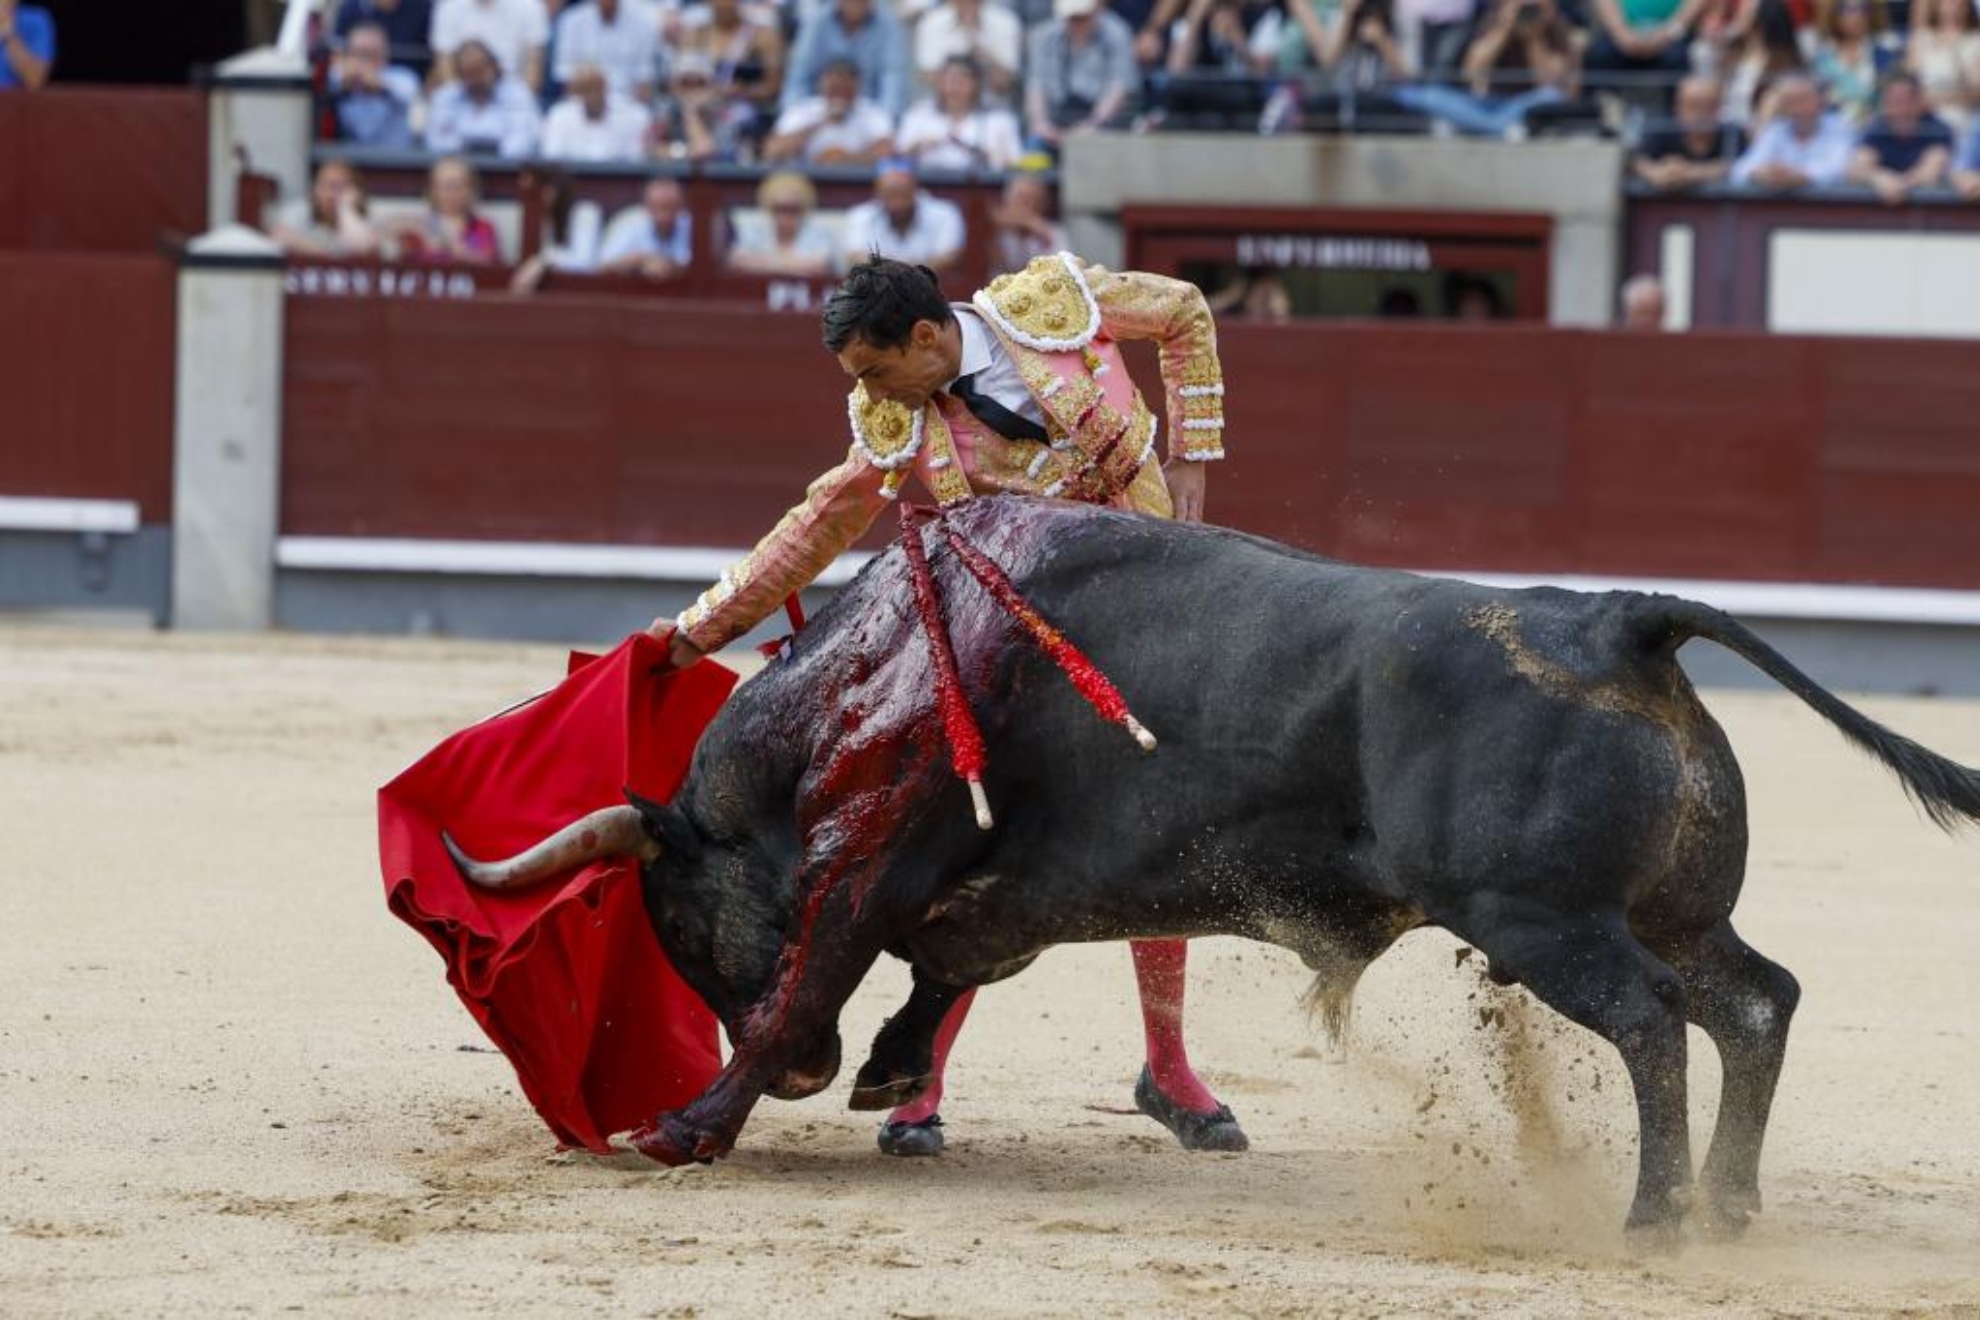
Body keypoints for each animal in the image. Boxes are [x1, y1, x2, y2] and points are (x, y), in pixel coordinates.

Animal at [449, 498, 1980, 1250]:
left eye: (670, 917)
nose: (824, 1079)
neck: (865, 675)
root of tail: (1618, 622)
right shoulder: (990, 896)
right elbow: (940, 967)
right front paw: (885, 1076)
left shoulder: (865, 860)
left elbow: (809, 977)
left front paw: (690, 1125)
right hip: (1672, 911)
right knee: (1757, 1001)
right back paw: (1729, 1204)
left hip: (1548, 924)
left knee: (1661, 1023)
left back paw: (1657, 1217)